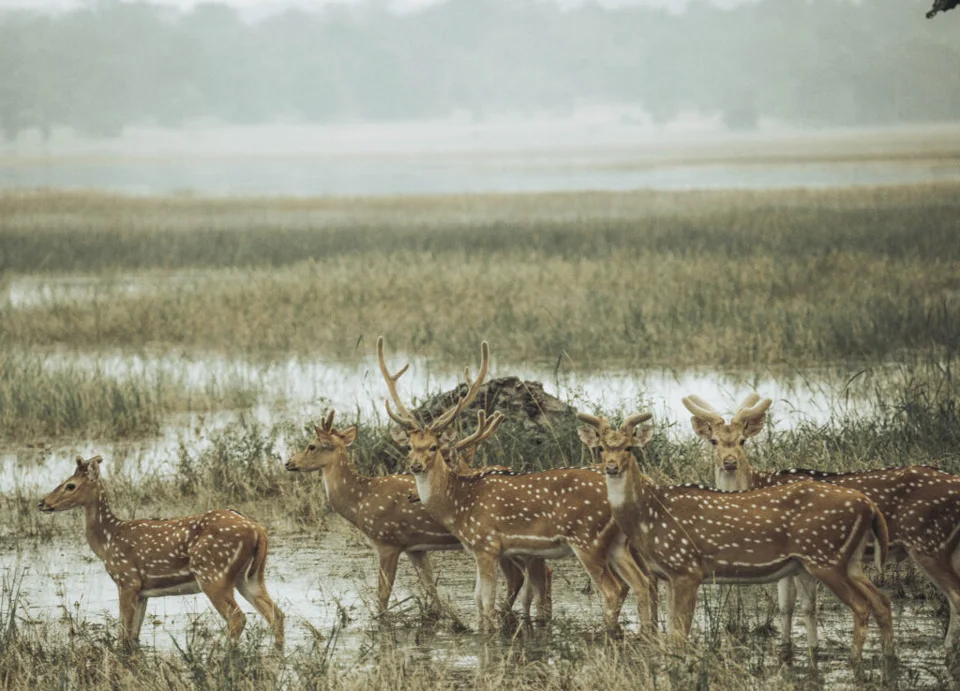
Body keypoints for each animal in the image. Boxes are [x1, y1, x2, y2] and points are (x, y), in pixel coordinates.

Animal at [38, 455, 285, 650]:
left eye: (70, 485)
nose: (42, 503)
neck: (108, 541)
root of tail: (258, 529)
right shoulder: (143, 591)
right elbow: (133, 635)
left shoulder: (127, 581)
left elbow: (124, 634)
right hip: (250, 576)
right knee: (276, 614)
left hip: (214, 573)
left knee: (238, 618)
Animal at [285, 408, 552, 621]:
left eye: (311, 445)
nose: (289, 462)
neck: (361, 501)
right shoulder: (415, 547)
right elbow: (430, 587)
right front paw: (443, 615)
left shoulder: (387, 541)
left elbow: (382, 595)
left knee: (525, 576)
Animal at [379, 336, 654, 635]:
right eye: (409, 447)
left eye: (433, 447)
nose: (415, 466)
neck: (459, 504)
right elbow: (479, 599)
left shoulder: (486, 544)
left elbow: (486, 600)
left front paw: (488, 633)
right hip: (617, 543)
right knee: (642, 583)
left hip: (587, 538)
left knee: (614, 590)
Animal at [577, 411, 896, 666]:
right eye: (601, 448)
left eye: (629, 447)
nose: (611, 467)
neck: (650, 518)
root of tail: (869, 506)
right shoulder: (667, 574)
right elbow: (671, 633)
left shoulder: (687, 567)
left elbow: (679, 635)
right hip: (848, 560)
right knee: (882, 600)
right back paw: (888, 657)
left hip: (825, 557)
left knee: (862, 606)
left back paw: (855, 661)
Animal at [683, 392, 960, 656]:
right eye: (713, 441)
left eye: (742, 440)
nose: (730, 461)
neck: (755, 484)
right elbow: (785, 606)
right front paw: (785, 647)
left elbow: (806, 606)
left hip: (929, 542)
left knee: (955, 596)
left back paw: (946, 648)